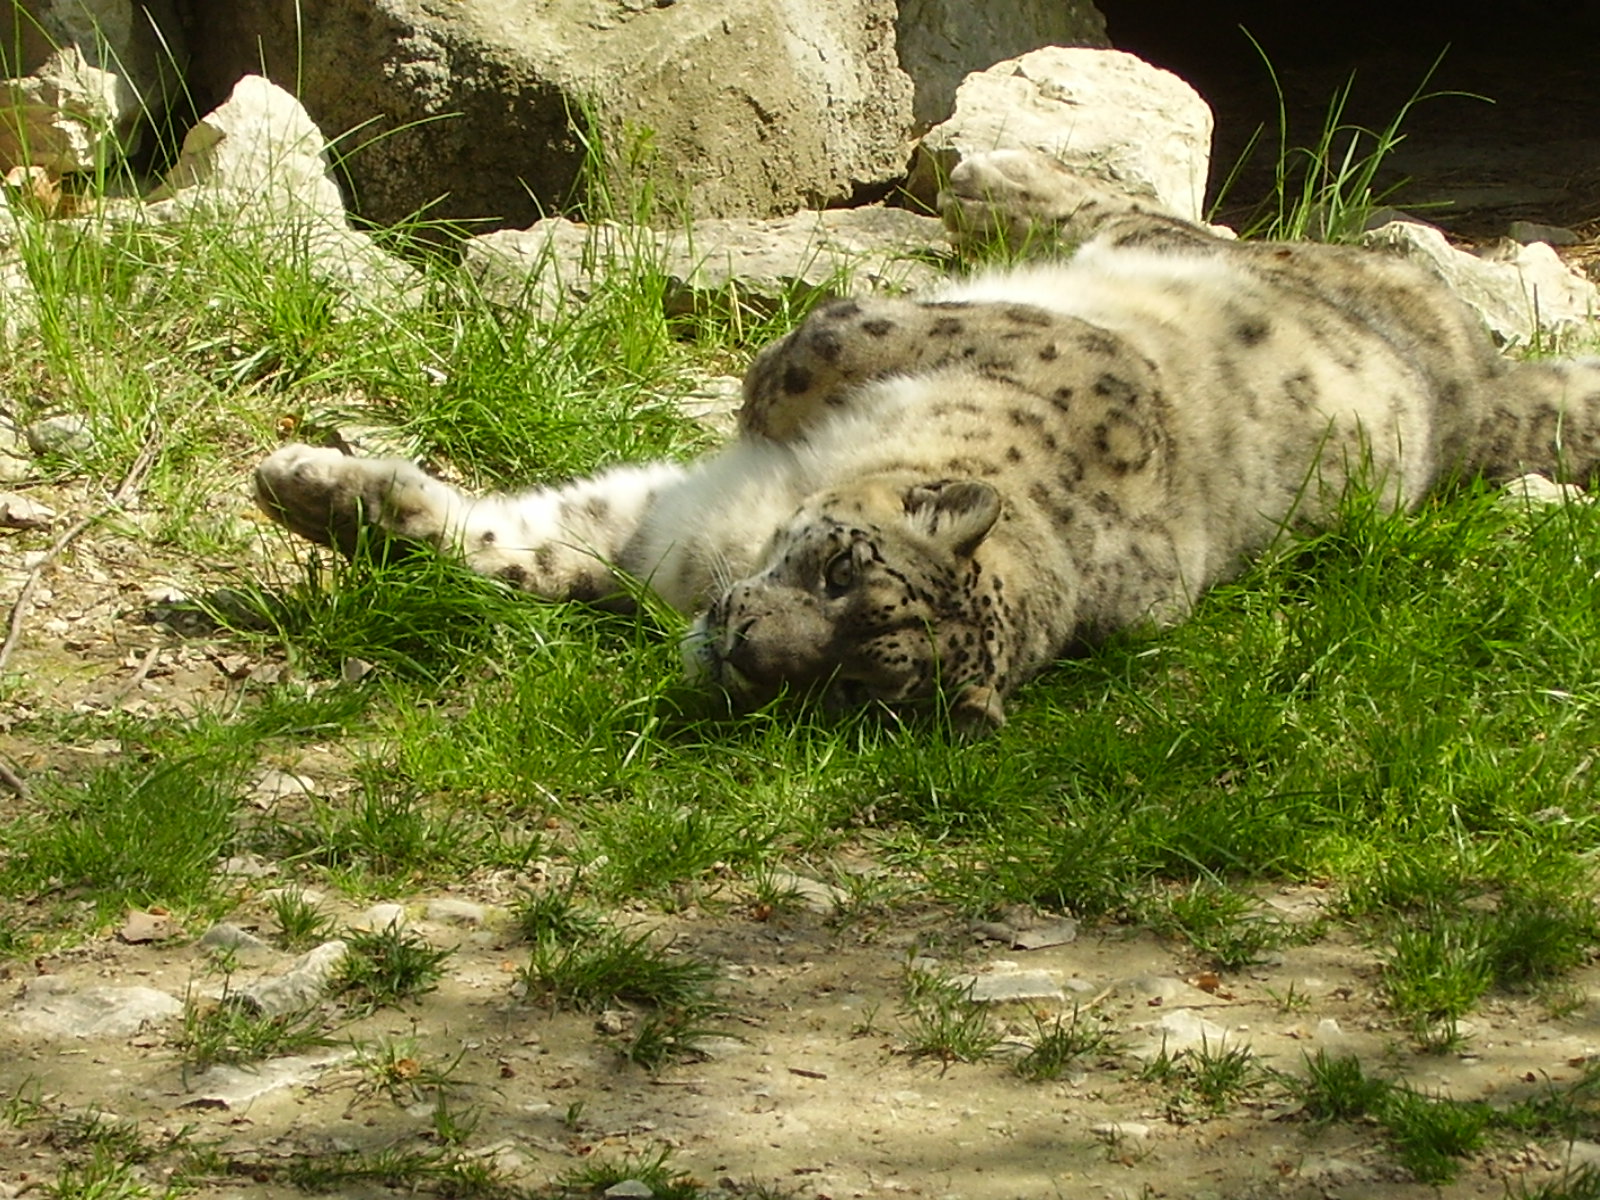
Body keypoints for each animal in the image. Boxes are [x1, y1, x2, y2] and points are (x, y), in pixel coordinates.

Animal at [255, 148, 1600, 732]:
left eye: (856, 691)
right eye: (836, 566)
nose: (743, 649)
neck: (720, 548)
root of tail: (1472, 383)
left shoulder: (654, 551)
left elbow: (521, 550)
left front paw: (309, 488)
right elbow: (826, 344)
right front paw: (310, 487)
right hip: (1208, 255)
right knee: (1153, 216)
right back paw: (999, 174)